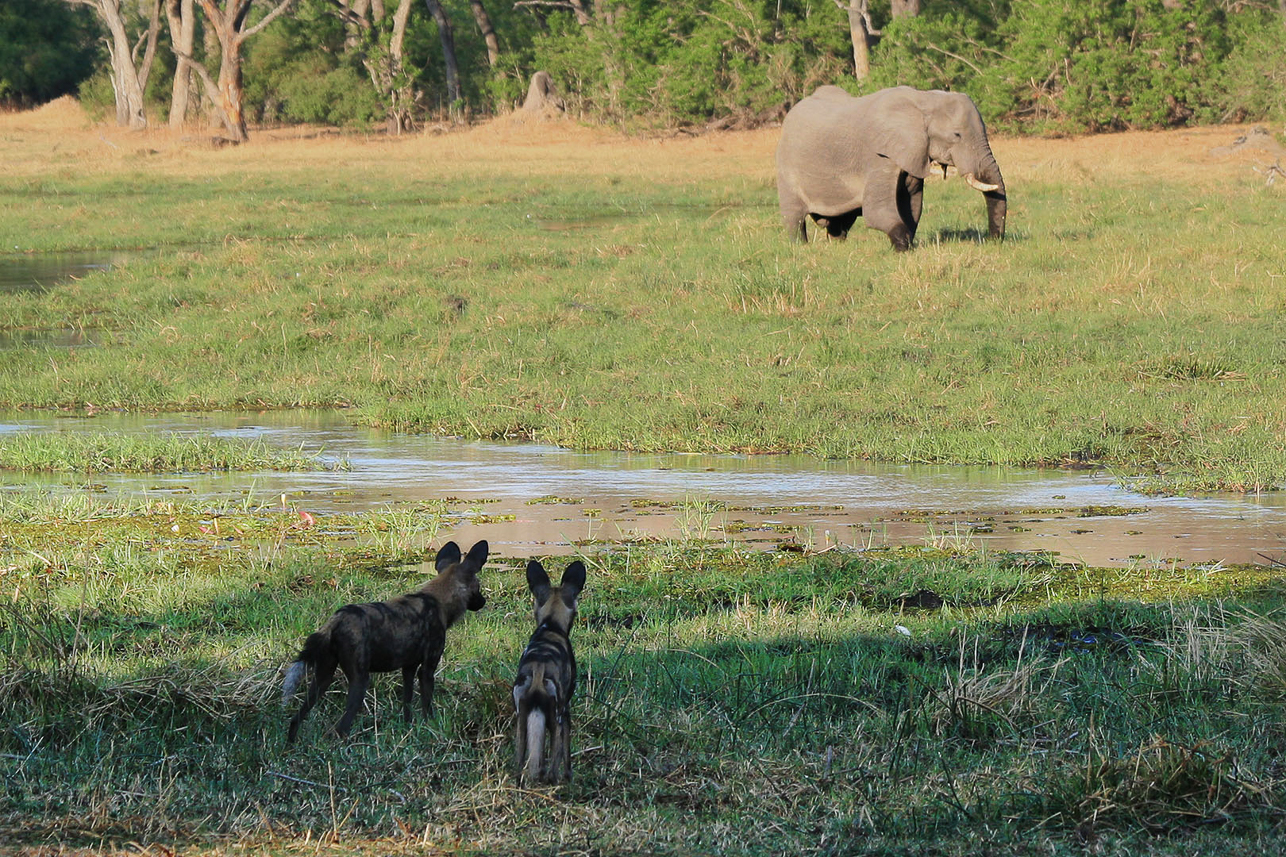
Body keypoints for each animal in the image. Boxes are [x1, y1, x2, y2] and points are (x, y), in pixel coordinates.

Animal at [284, 537, 488, 736]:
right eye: (478, 587)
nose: (483, 601)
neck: (439, 599)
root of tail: (336, 620)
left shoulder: (408, 668)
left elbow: (407, 704)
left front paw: (409, 729)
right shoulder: (427, 668)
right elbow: (427, 707)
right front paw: (432, 727)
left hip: (323, 676)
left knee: (295, 720)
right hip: (360, 680)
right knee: (340, 729)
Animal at [514, 553, 588, 782]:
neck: (551, 625)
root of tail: (538, 672)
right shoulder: (567, 709)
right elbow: (566, 752)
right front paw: (569, 775)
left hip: (521, 718)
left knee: (520, 760)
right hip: (556, 715)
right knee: (554, 759)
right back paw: (555, 781)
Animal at [771, 84, 1003, 248]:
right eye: (957, 135)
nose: (993, 241)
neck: (924, 99)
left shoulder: (912, 155)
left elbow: (912, 206)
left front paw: (907, 244)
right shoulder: (878, 157)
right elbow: (877, 211)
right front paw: (903, 248)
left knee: (840, 223)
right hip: (785, 165)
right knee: (794, 219)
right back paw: (800, 246)